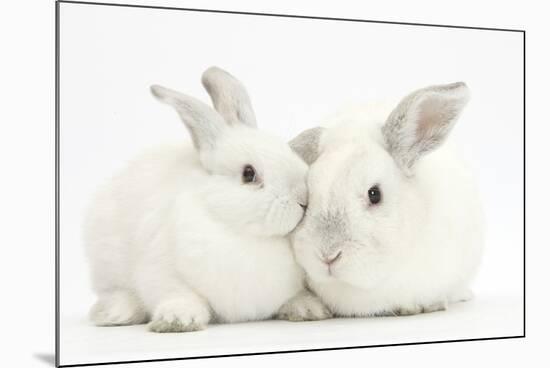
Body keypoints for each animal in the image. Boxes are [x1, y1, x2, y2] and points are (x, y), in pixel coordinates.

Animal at [83, 67, 330, 334]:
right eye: (249, 174)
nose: (302, 199)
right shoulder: (162, 271)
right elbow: (180, 294)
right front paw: (178, 320)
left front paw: (309, 308)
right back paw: (115, 313)